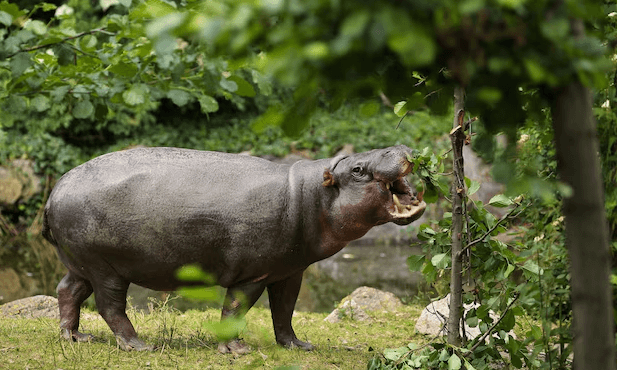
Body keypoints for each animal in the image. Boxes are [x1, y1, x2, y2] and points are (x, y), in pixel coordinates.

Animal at [43, 145, 426, 352]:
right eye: (358, 169)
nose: (400, 148)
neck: (313, 194)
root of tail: (54, 191)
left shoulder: (289, 272)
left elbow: (284, 312)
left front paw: (298, 346)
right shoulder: (252, 274)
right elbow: (236, 309)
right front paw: (235, 349)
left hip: (81, 264)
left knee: (67, 291)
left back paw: (74, 337)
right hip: (106, 268)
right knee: (110, 307)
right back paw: (139, 346)